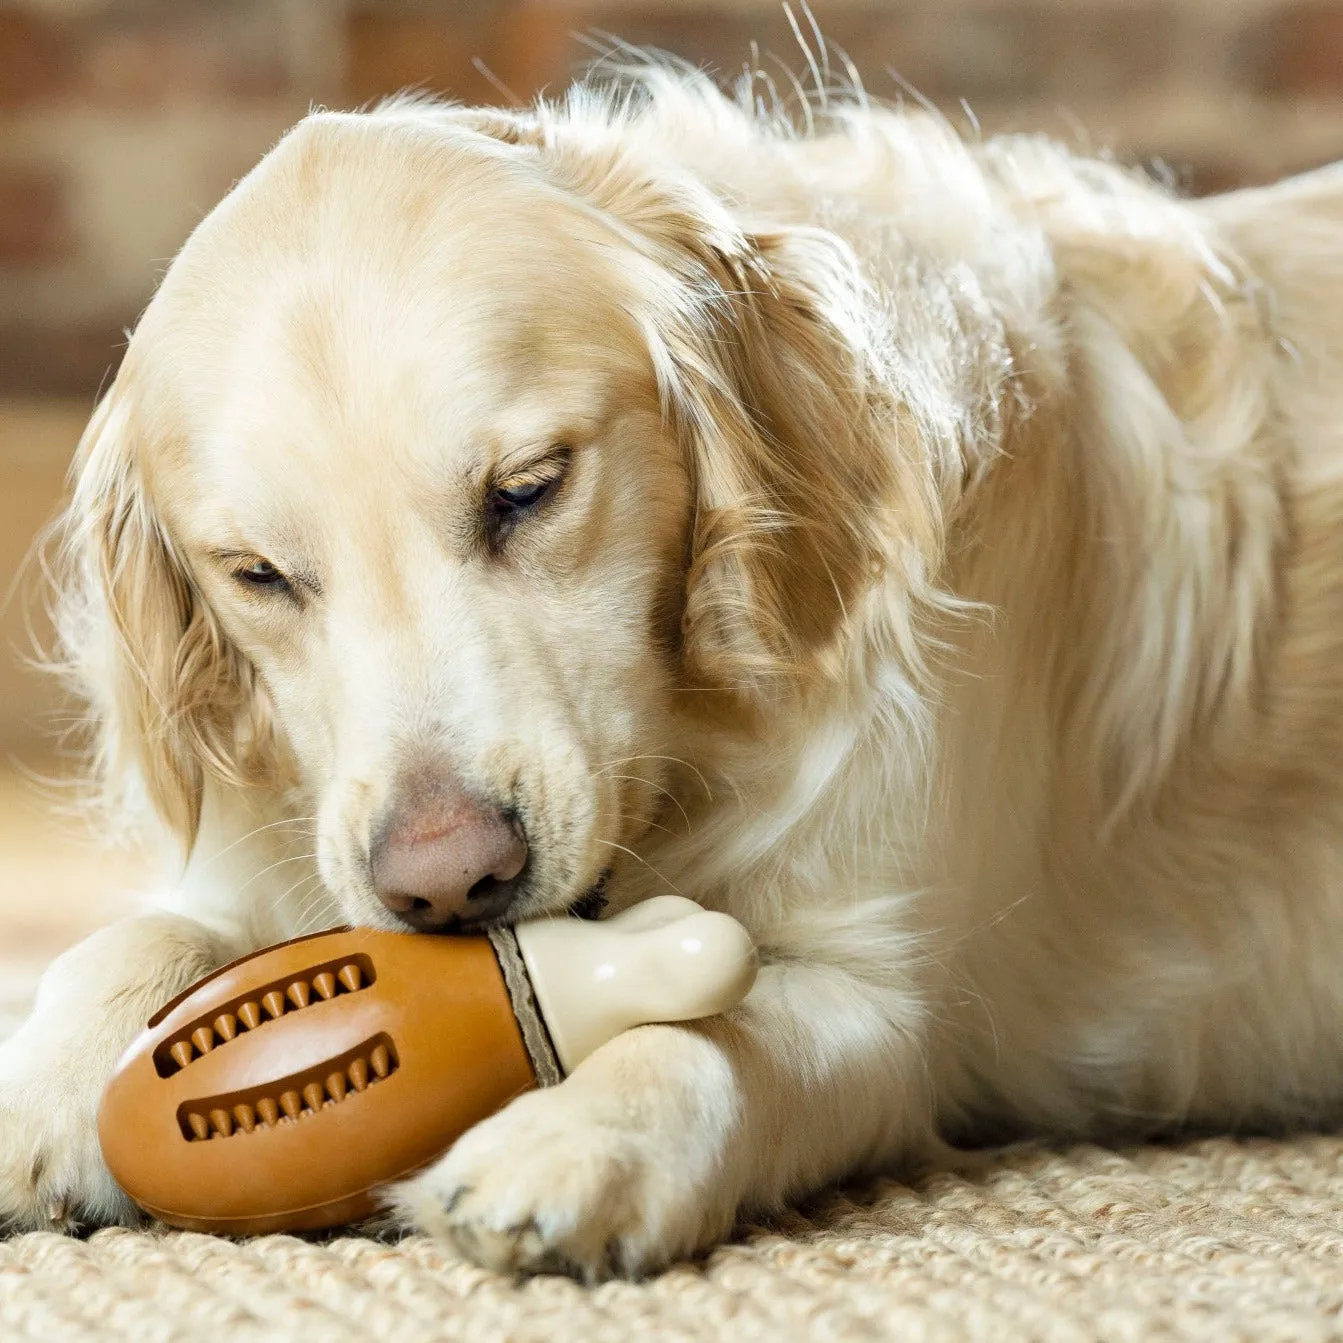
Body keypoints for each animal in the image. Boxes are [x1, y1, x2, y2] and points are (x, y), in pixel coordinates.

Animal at [2, 63, 1343, 1273]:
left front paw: (577, 1137)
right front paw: (35, 1092)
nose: (446, 883)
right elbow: (128, 942)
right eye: (259, 574)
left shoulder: (892, 1003)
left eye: (527, 489)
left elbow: (717, 1035)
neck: (690, 744)